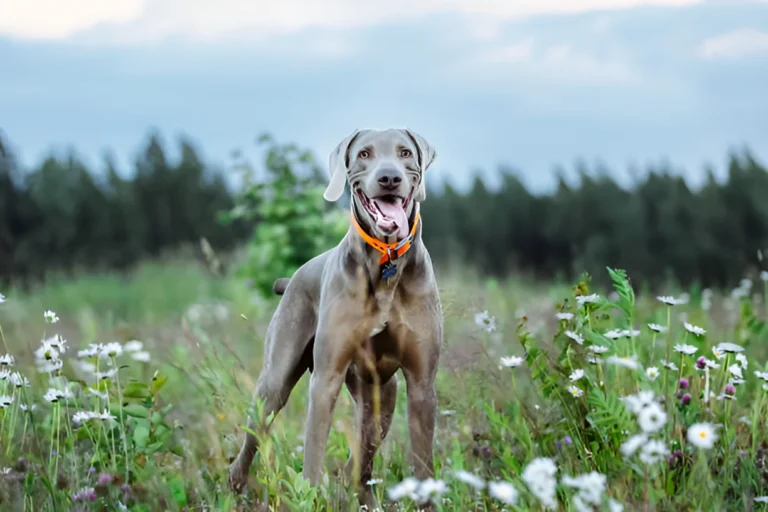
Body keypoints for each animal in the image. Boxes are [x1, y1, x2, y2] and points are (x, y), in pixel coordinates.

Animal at [228, 128, 444, 508]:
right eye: (364, 154)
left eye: (405, 153)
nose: (389, 178)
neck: (386, 264)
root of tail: (292, 277)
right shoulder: (326, 378)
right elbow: (313, 454)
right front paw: (309, 497)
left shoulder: (421, 384)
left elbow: (422, 463)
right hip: (275, 382)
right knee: (254, 436)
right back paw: (235, 487)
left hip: (380, 396)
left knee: (361, 459)